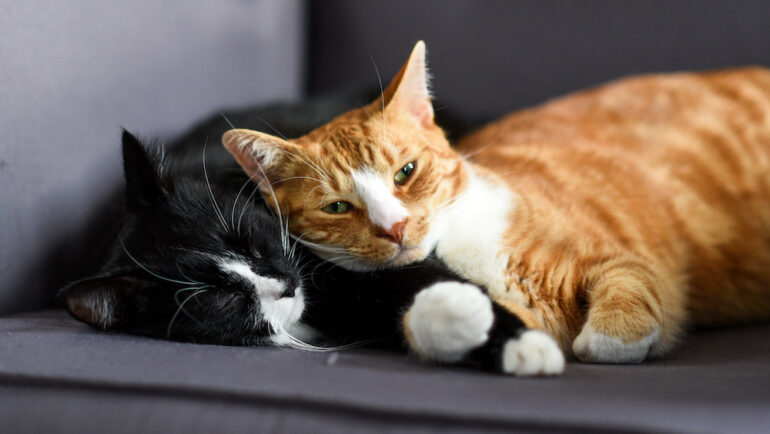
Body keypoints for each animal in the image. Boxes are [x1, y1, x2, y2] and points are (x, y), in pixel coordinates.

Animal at [222, 42, 768, 372]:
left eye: (405, 172)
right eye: (337, 207)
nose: (394, 228)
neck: (462, 246)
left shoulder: (626, 261)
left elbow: (627, 298)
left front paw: (600, 341)